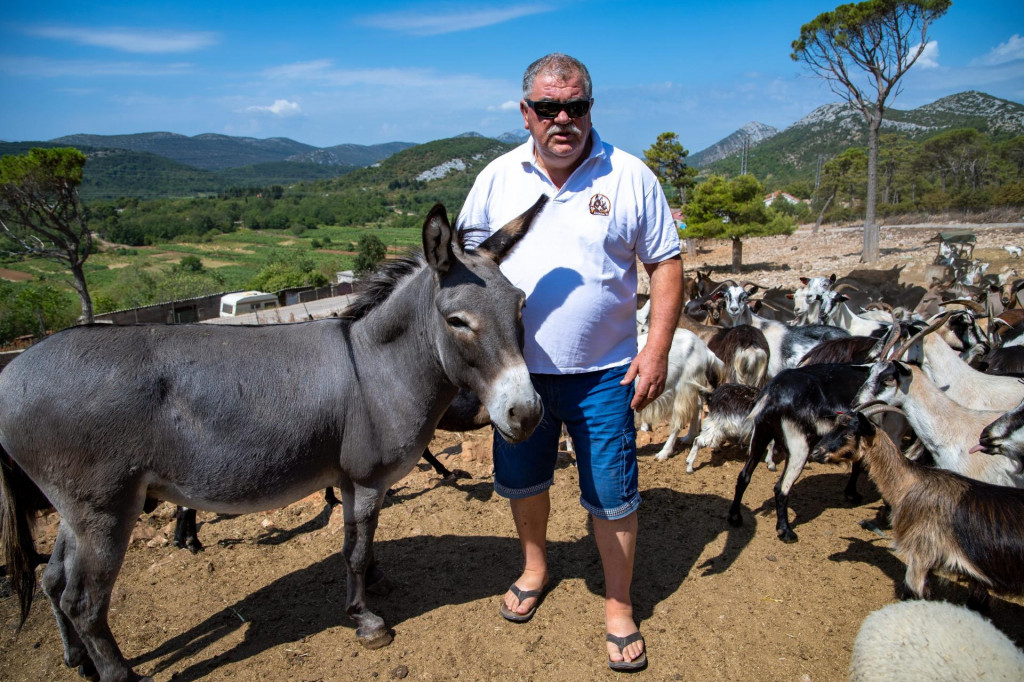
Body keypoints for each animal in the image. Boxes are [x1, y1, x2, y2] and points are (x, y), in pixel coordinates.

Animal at [811, 405, 1024, 606]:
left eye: (848, 434)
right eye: (834, 428)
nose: (816, 452)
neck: (910, 484)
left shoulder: (920, 554)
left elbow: (913, 594)